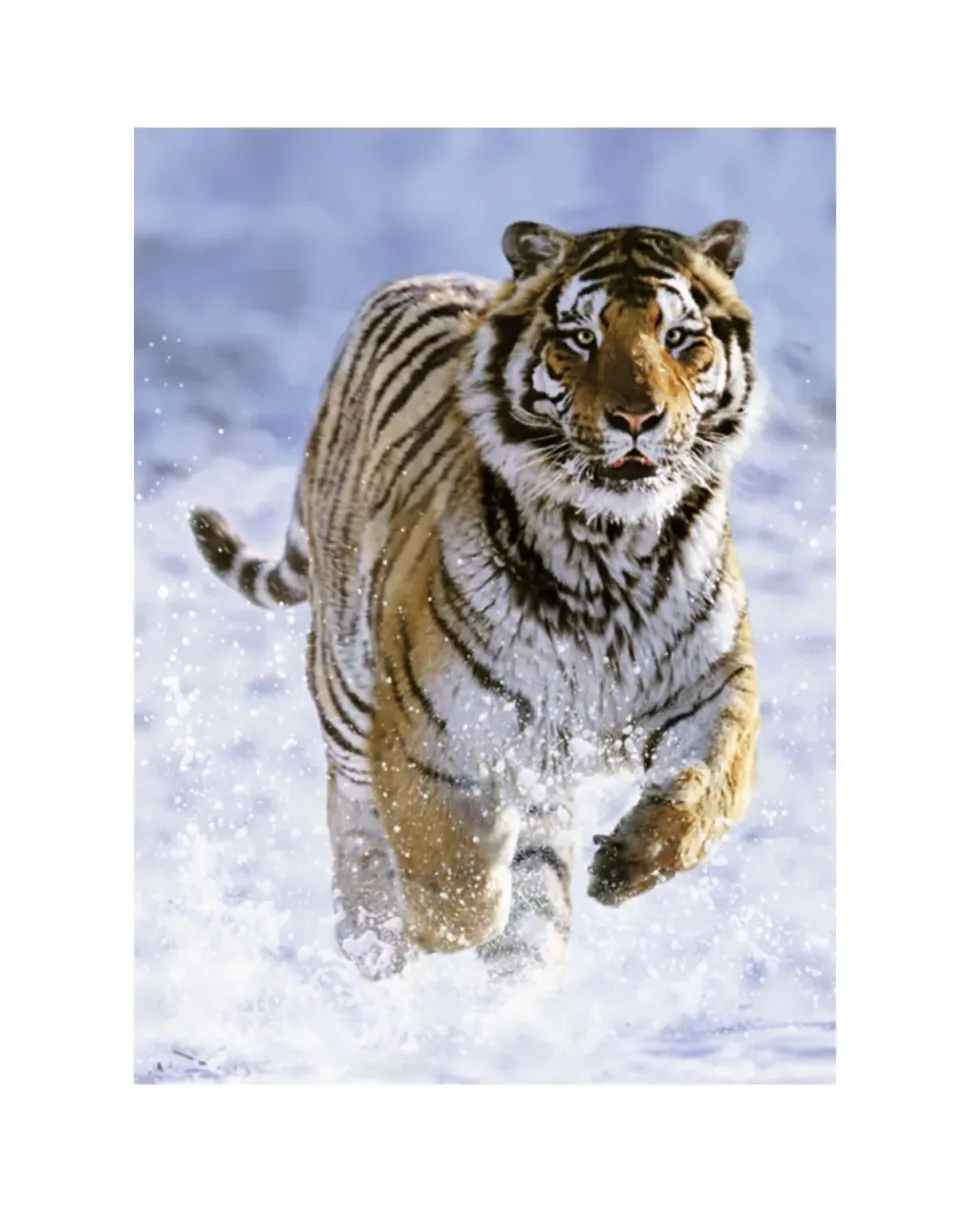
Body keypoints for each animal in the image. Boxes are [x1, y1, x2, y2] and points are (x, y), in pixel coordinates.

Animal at [190, 218, 763, 981]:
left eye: (678, 337)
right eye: (581, 337)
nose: (638, 417)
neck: (607, 551)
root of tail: (420, 279)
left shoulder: (715, 685)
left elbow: (711, 788)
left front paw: (626, 864)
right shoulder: (428, 734)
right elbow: (455, 889)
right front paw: (430, 924)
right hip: (346, 691)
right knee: (354, 821)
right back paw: (375, 941)